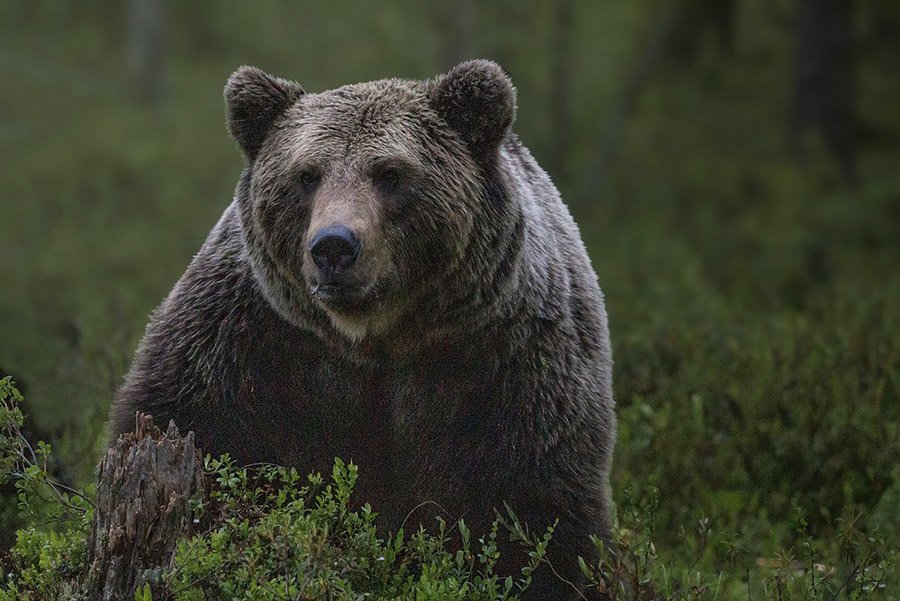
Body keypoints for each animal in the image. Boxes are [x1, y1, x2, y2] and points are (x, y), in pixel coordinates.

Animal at [110, 60, 616, 599]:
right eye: (307, 175)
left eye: (390, 174)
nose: (334, 246)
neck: (375, 337)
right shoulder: (249, 340)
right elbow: (189, 421)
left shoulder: (506, 360)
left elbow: (537, 508)